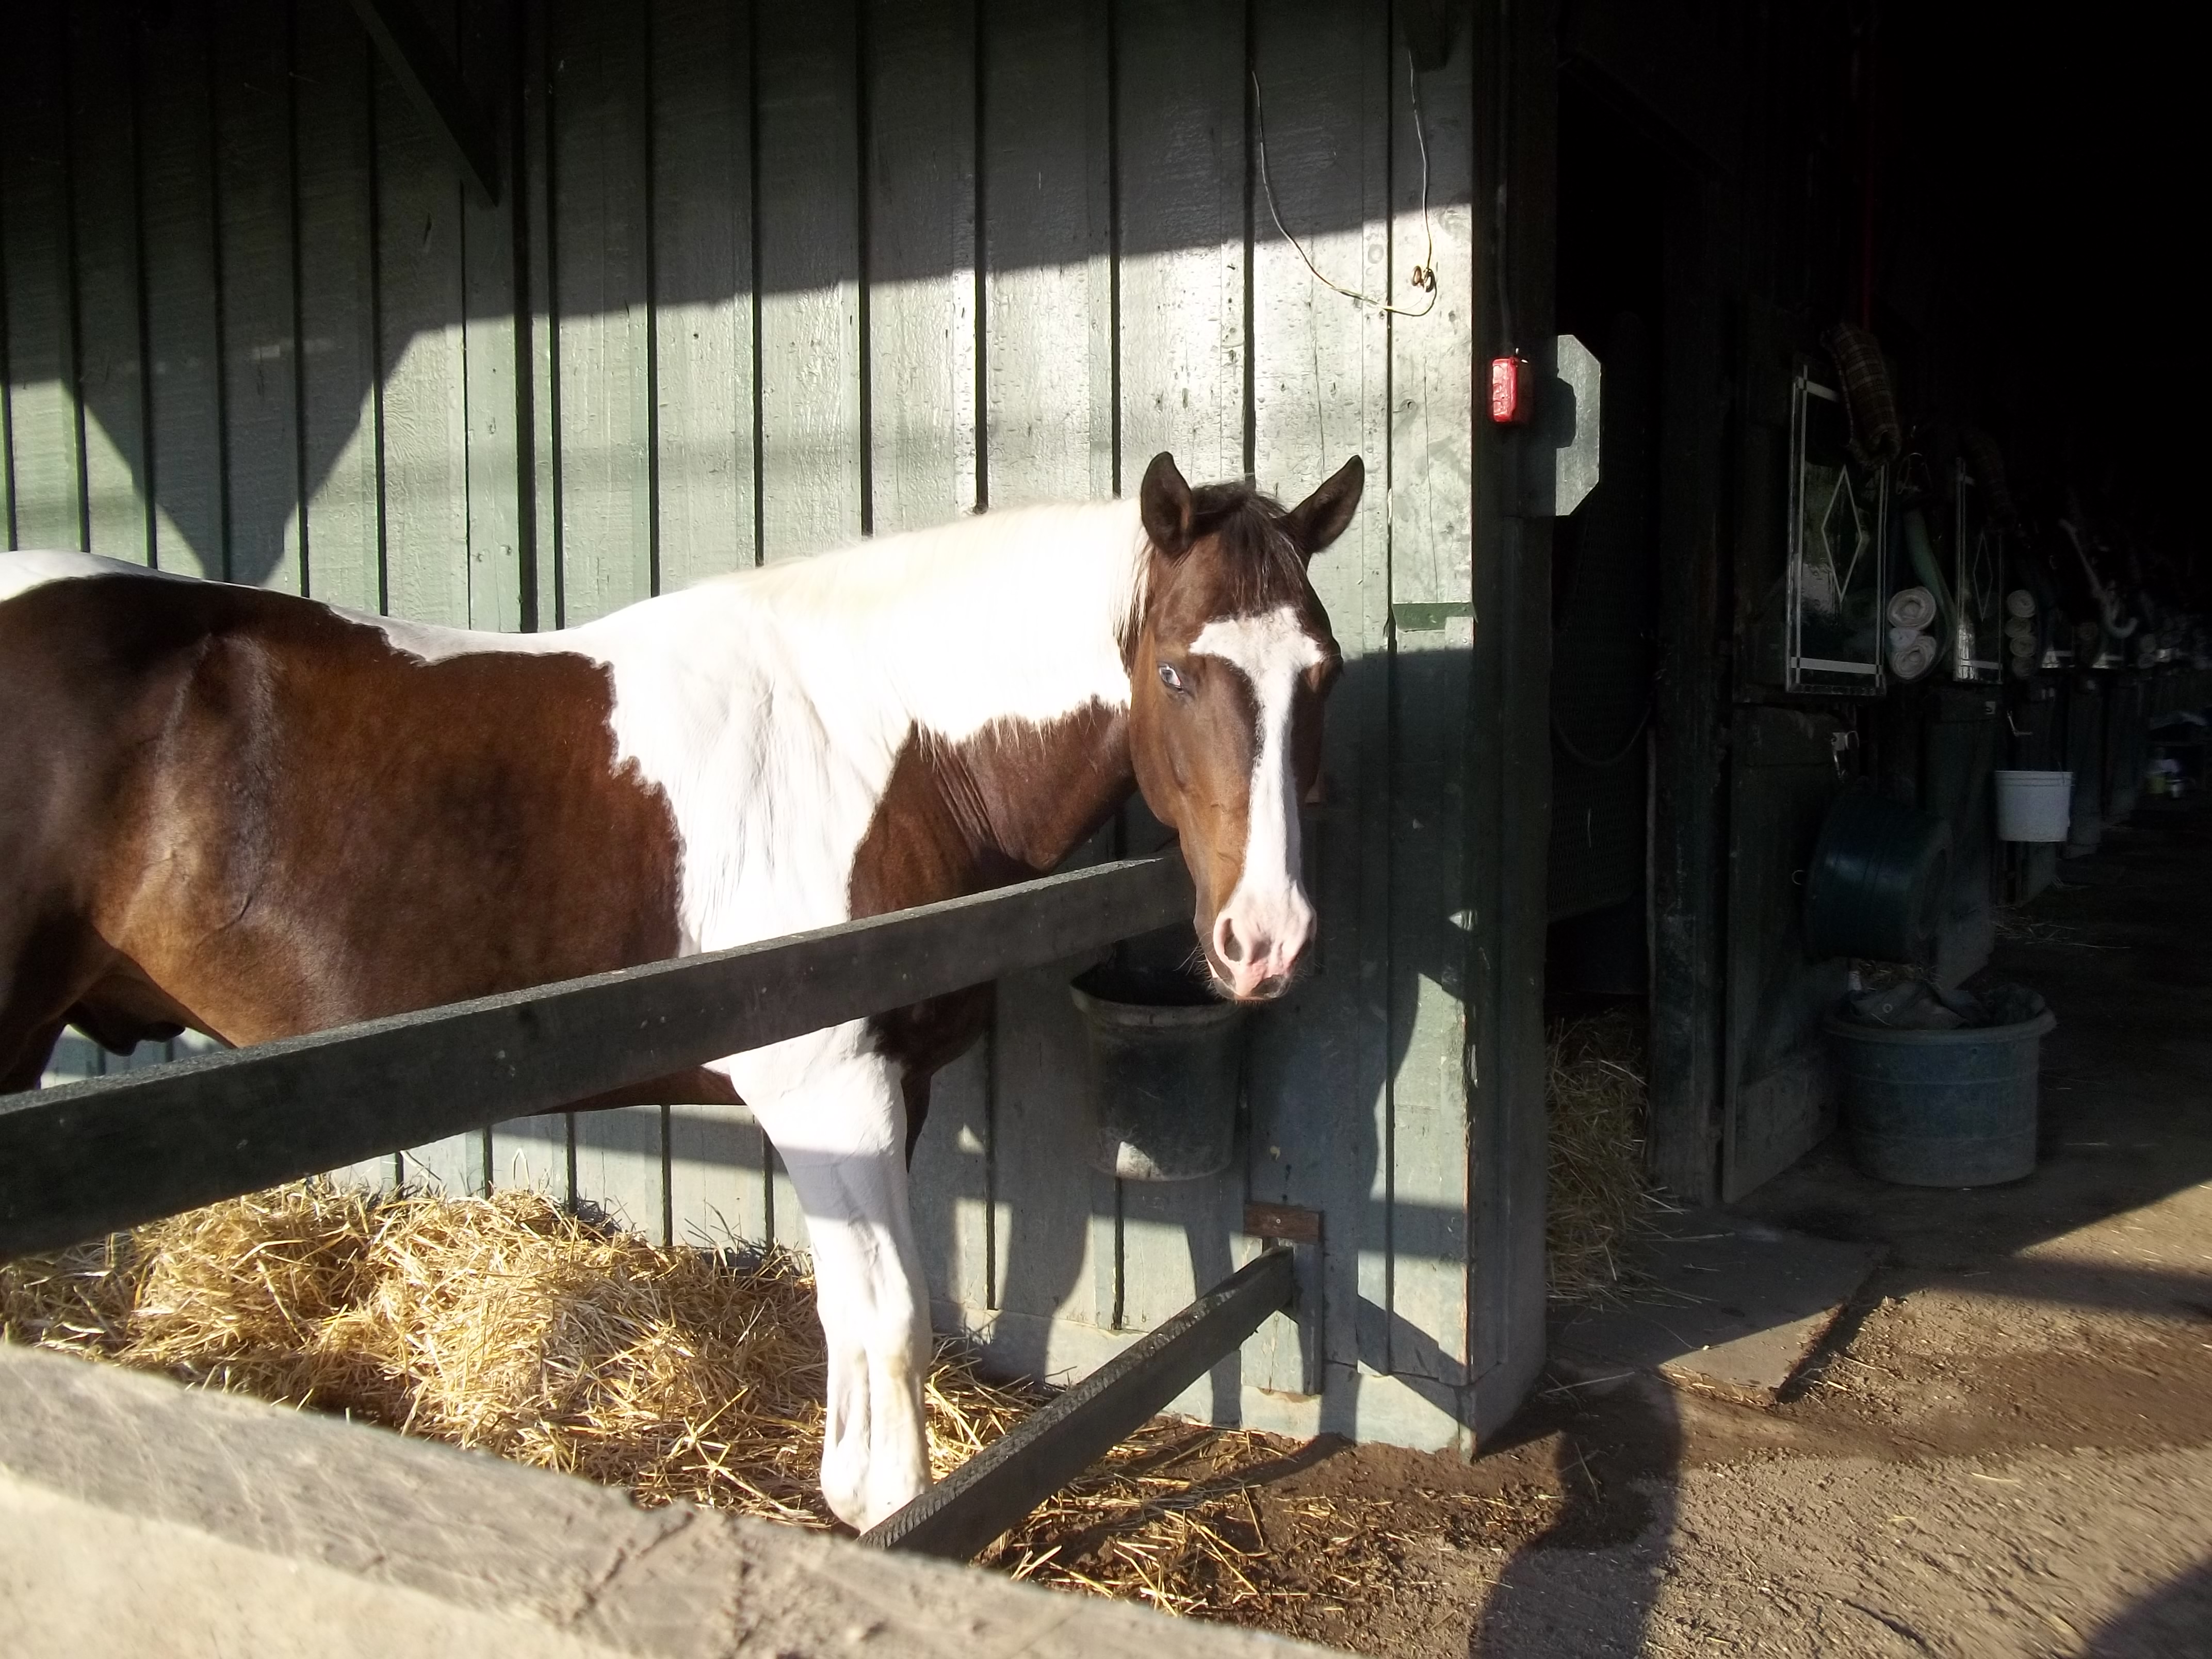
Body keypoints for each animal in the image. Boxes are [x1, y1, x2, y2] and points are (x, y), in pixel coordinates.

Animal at [0, 449, 1362, 1529]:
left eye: (1323, 673)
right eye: (1178, 670)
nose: (1265, 938)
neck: (884, 740)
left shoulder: (888, 1090)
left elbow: (853, 1311)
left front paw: (853, 1492)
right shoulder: (828, 1089)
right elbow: (891, 1315)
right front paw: (894, 1515)